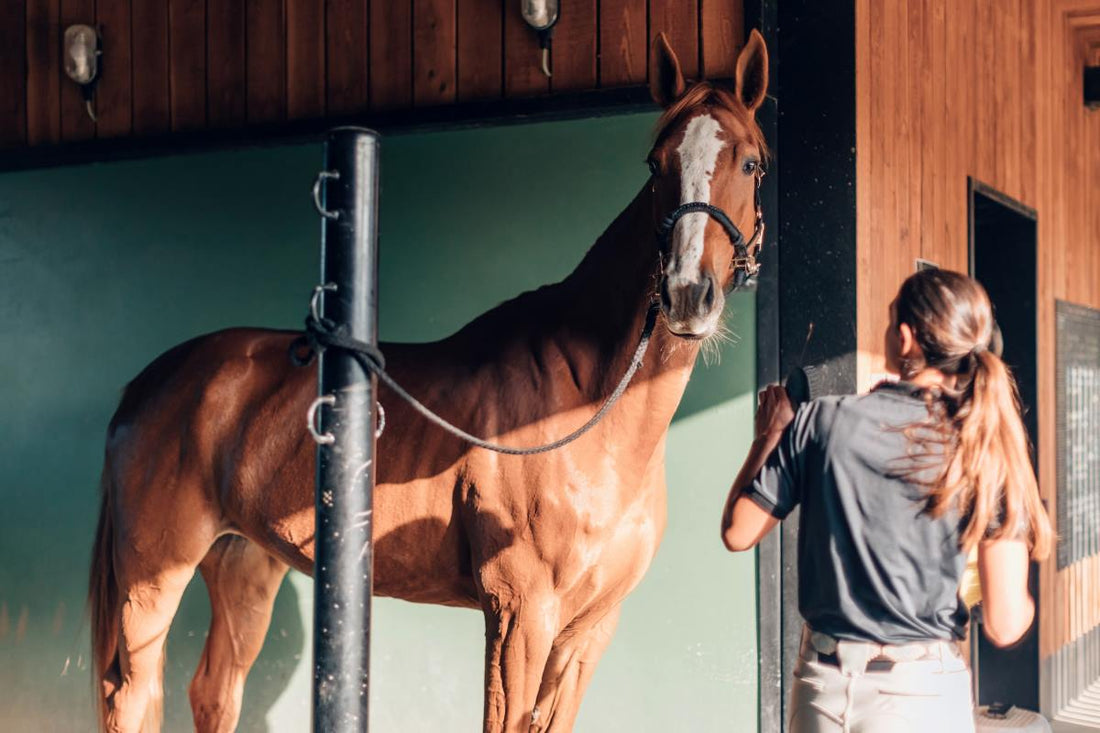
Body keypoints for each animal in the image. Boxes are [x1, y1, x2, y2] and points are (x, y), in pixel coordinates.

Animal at [88, 30, 769, 733]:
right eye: (656, 165)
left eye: (752, 164)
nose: (687, 293)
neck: (592, 408)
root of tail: (147, 385)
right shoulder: (519, 615)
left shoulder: (589, 631)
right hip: (152, 578)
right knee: (130, 693)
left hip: (245, 564)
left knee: (213, 691)